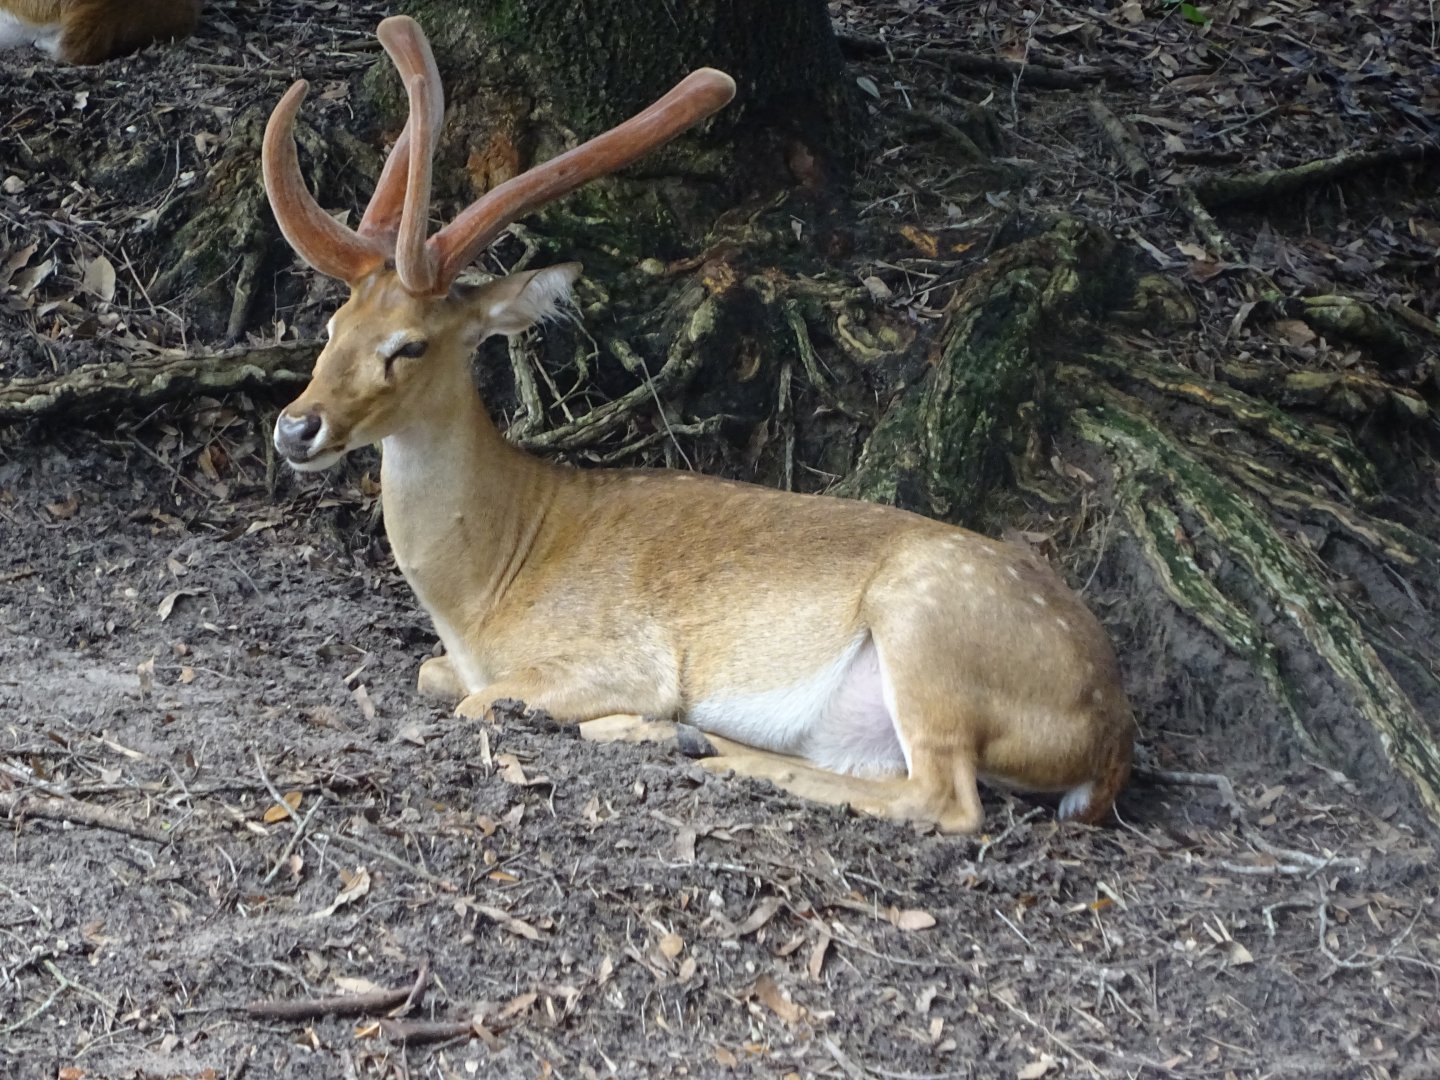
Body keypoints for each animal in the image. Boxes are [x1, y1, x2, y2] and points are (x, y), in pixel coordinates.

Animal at [261, 16, 1134, 834]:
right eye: (335, 324)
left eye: (409, 345)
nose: (296, 428)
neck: (486, 591)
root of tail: (1109, 737)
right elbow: (429, 675)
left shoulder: (615, 655)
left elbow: (484, 702)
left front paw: (639, 719)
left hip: (927, 621)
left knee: (944, 797)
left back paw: (676, 739)